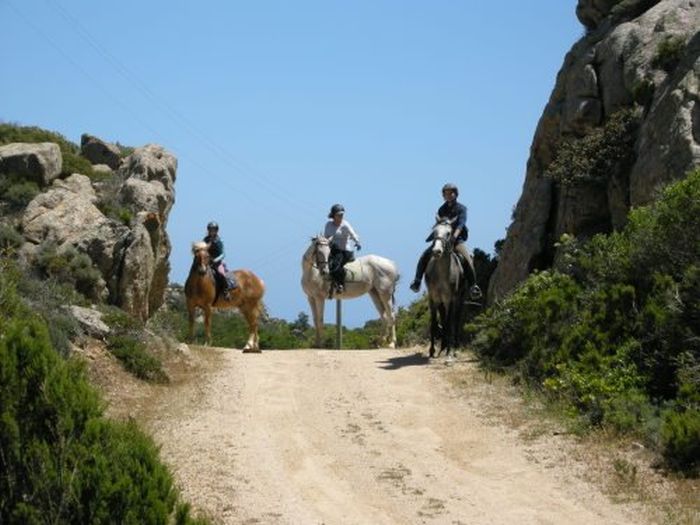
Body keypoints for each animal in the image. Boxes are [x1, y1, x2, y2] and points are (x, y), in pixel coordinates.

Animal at [424, 216, 468, 356]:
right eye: (434, 232)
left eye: (449, 233)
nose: (436, 251)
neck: (441, 273)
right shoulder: (433, 298)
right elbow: (434, 323)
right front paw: (432, 350)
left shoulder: (450, 299)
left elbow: (449, 323)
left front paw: (449, 351)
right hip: (441, 300)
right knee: (443, 318)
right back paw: (443, 345)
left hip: (460, 299)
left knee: (456, 320)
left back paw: (454, 346)